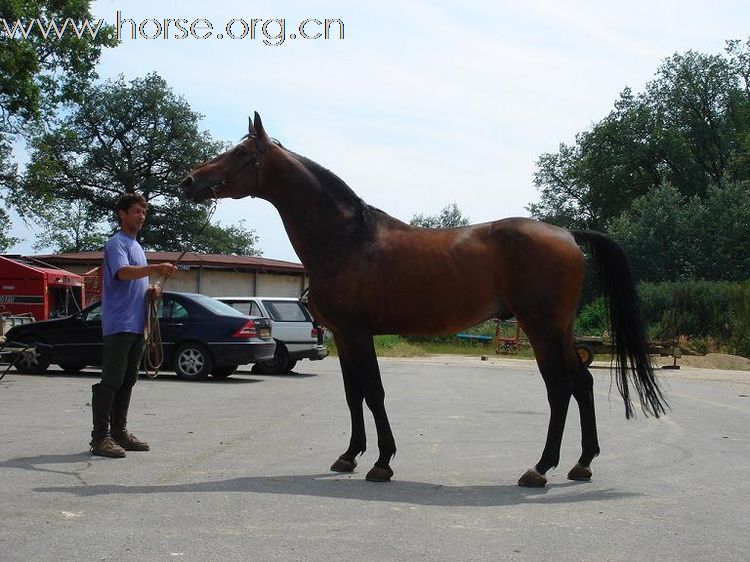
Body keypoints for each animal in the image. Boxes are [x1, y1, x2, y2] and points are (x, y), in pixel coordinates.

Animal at [182, 111, 668, 484]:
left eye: (240, 153)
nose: (188, 181)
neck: (347, 239)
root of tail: (567, 233)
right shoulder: (344, 336)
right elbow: (353, 395)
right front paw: (349, 456)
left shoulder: (357, 332)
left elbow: (373, 392)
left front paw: (381, 462)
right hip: (559, 329)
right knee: (582, 384)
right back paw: (582, 464)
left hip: (541, 329)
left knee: (560, 389)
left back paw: (540, 468)